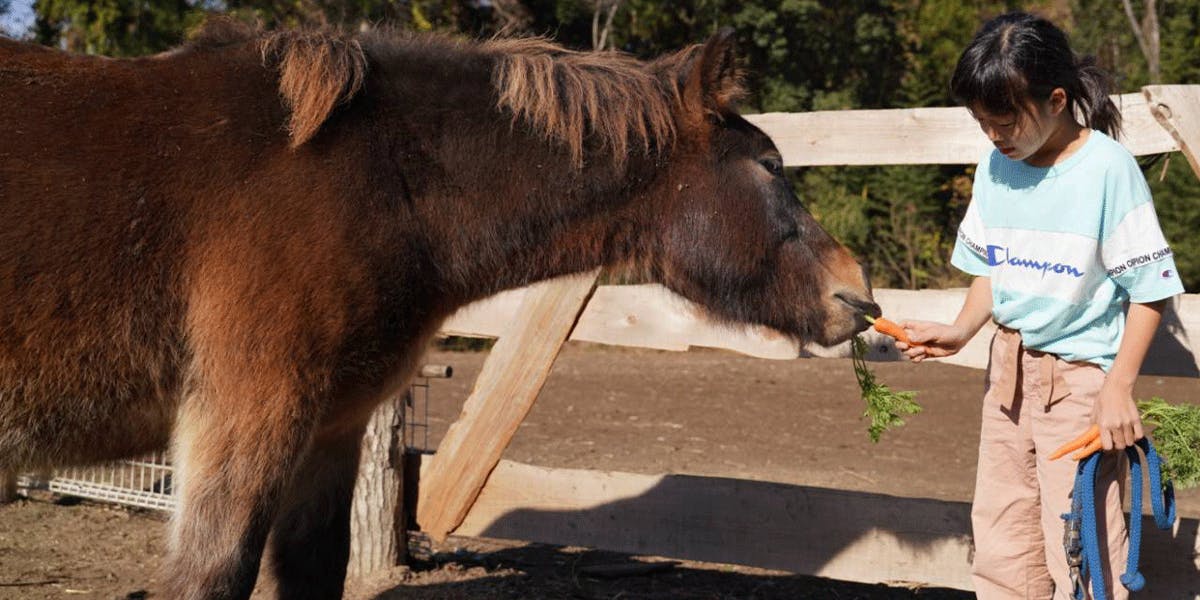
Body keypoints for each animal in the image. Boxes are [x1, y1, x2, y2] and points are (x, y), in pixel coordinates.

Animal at [0, 18, 883, 600]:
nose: (858, 295)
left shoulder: (332, 428)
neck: (372, 183)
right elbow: (211, 577)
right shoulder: (246, 414)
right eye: (770, 166)